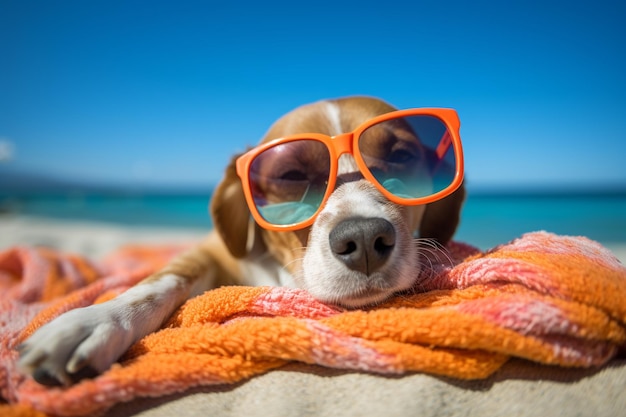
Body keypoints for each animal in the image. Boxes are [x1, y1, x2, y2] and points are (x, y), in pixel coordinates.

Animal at [17, 96, 464, 386]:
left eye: (402, 157)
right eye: (290, 176)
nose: (365, 237)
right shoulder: (208, 251)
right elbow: (159, 281)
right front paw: (96, 321)